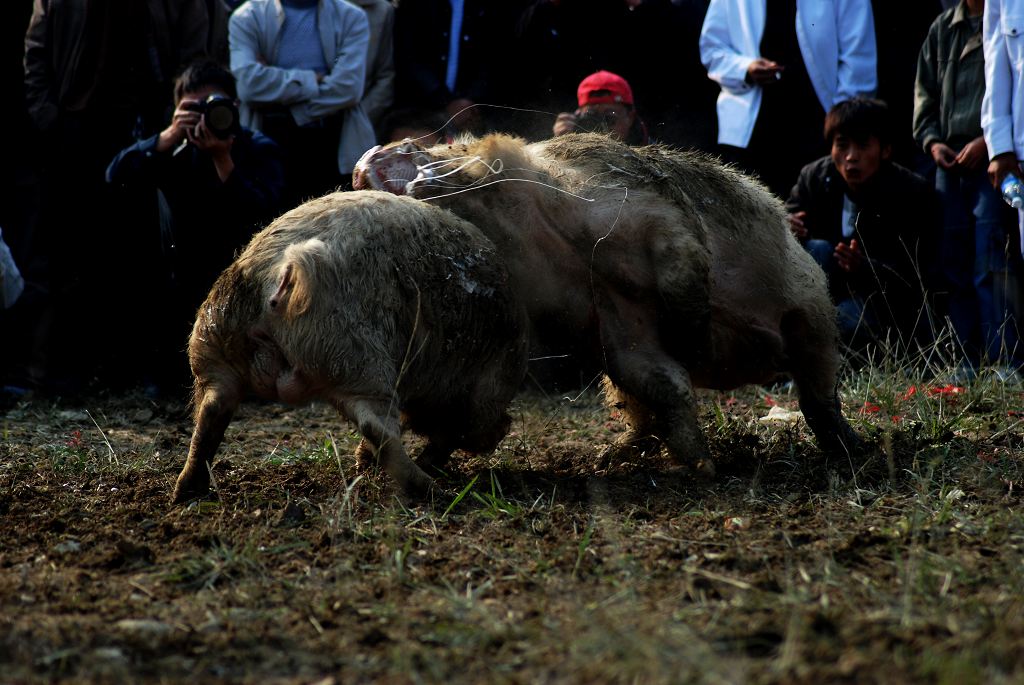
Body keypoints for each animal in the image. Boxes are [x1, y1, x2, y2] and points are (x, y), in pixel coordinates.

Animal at [171, 189, 528, 499]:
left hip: (212, 342)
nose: (502, 428)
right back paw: (431, 490)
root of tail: (279, 272)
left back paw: (185, 492)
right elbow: (445, 435)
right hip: (360, 359)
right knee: (377, 427)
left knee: (212, 408)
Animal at [356, 131, 860, 473]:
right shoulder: (617, 319)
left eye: (425, 145)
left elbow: (684, 263)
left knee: (819, 392)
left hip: (814, 314)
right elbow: (663, 380)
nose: (365, 159)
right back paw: (608, 456)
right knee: (644, 408)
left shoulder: (646, 214)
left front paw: (693, 339)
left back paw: (853, 449)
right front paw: (704, 468)